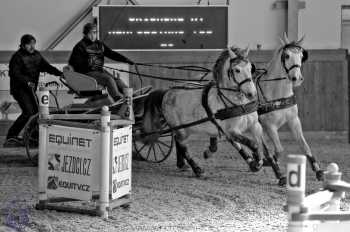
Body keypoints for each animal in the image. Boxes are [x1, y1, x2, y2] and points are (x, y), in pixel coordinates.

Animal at [141, 47, 274, 178]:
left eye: (251, 68)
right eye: (237, 70)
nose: (251, 94)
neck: (238, 103)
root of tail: (167, 93)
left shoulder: (254, 125)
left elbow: (259, 144)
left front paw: (258, 162)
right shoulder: (231, 131)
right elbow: (252, 143)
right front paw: (256, 161)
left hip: (183, 128)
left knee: (177, 142)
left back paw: (182, 165)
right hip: (181, 128)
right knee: (181, 144)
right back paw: (197, 169)